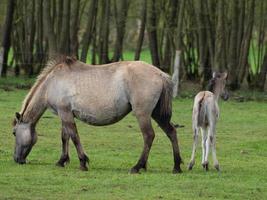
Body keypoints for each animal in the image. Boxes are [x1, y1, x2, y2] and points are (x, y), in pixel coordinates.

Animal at [13, 56, 184, 173]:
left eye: (14, 133)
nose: (17, 159)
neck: (52, 83)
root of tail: (161, 74)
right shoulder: (64, 114)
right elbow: (65, 137)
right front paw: (62, 161)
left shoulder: (65, 114)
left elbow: (74, 137)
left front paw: (83, 162)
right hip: (158, 114)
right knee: (171, 132)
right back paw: (176, 166)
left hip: (143, 114)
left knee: (149, 136)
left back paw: (137, 166)